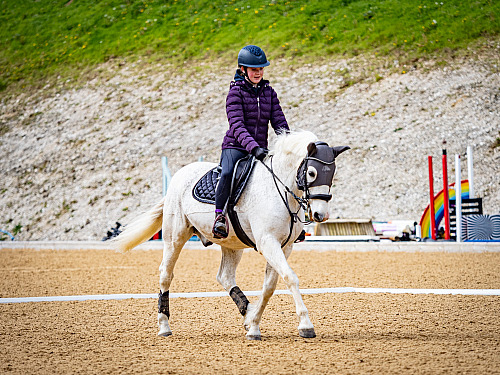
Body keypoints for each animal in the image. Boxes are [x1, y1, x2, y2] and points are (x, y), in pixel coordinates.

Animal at [111, 131, 350, 340]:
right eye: (312, 173)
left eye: (332, 173)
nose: (320, 215)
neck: (281, 191)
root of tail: (179, 175)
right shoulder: (268, 242)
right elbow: (290, 278)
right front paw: (306, 325)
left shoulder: (284, 246)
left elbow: (269, 287)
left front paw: (253, 325)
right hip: (174, 237)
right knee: (166, 274)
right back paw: (164, 326)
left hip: (231, 244)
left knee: (224, 276)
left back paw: (247, 313)